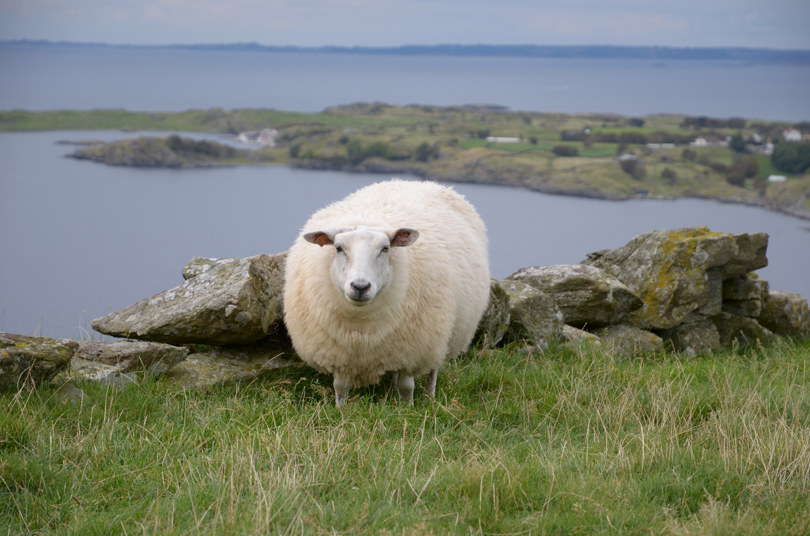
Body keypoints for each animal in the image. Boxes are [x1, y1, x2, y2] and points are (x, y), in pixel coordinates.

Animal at [280, 178, 490, 404]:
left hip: (442, 336)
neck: (360, 327)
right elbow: (340, 386)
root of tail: (417, 181)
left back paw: (430, 397)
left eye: (385, 248)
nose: (360, 286)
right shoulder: (341, 353)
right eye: (338, 248)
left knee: (434, 368)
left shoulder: (413, 351)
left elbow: (407, 386)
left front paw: (407, 407)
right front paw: (341, 408)